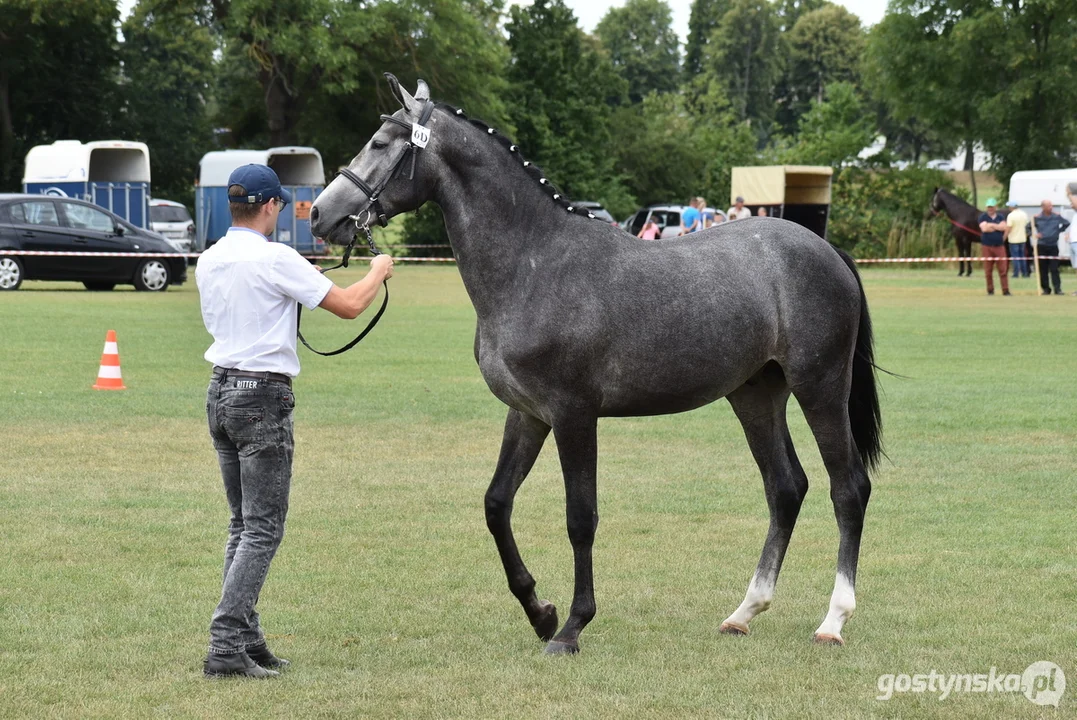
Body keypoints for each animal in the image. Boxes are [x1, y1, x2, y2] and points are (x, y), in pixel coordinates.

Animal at [312, 75, 883, 654]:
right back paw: (744, 612)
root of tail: (826, 250)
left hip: (820, 388)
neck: (535, 264)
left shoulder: (573, 415)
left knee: (847, 489)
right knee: (785, 489)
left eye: (381, 143)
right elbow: (497, 504)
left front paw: (571, 627)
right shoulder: (529, 414)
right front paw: (540, 611)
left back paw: (833, 620)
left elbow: (580, 518)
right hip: (755, 395)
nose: (319, 214)